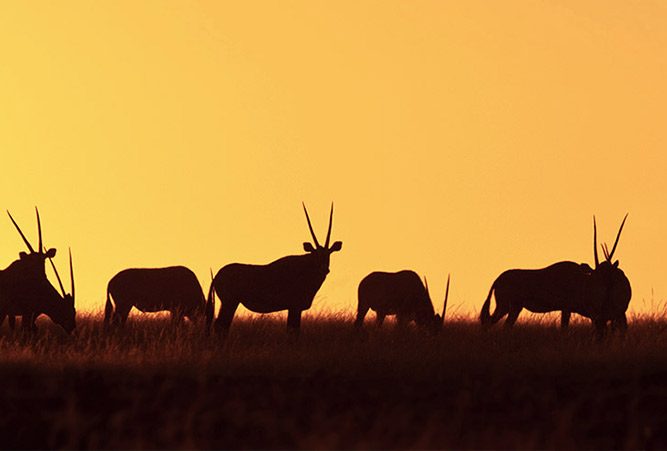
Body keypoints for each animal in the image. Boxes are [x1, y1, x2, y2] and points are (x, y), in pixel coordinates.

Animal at [207, 203, 344, 338]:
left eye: (329, 253)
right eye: (315, 254)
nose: (324, 269)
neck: (305, 268)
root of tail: (217, 275)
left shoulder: (295, 308)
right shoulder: (294, 307)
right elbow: (293, 332)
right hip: (230, 302)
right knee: (220, 325)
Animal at [480, 216, 632, 340]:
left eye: (609, 276)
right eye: (596, 276)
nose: (605, 291)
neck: (582, 280)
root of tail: (498, 279)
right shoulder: (567, 309)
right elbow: (564, 329)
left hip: (512, 308)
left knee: (498, 324)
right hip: (507, 306)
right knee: (494, 323)